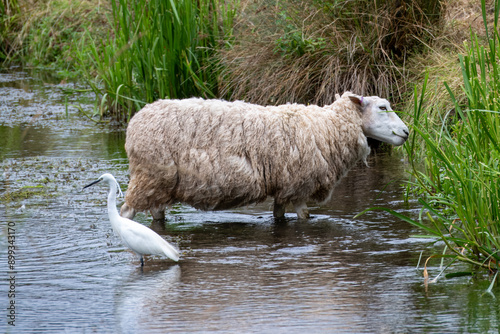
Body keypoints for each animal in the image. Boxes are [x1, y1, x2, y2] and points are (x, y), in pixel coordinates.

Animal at [119, 92, 408, 220]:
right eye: (383, 107)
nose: (406, 132)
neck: (326, 127)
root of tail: (135, 122)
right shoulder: (299, 187)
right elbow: (305, 217)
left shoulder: (284, 187)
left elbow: (278, 216)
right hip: (149, 177)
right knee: (125, 213)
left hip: (159, 183)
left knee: (156, 214)